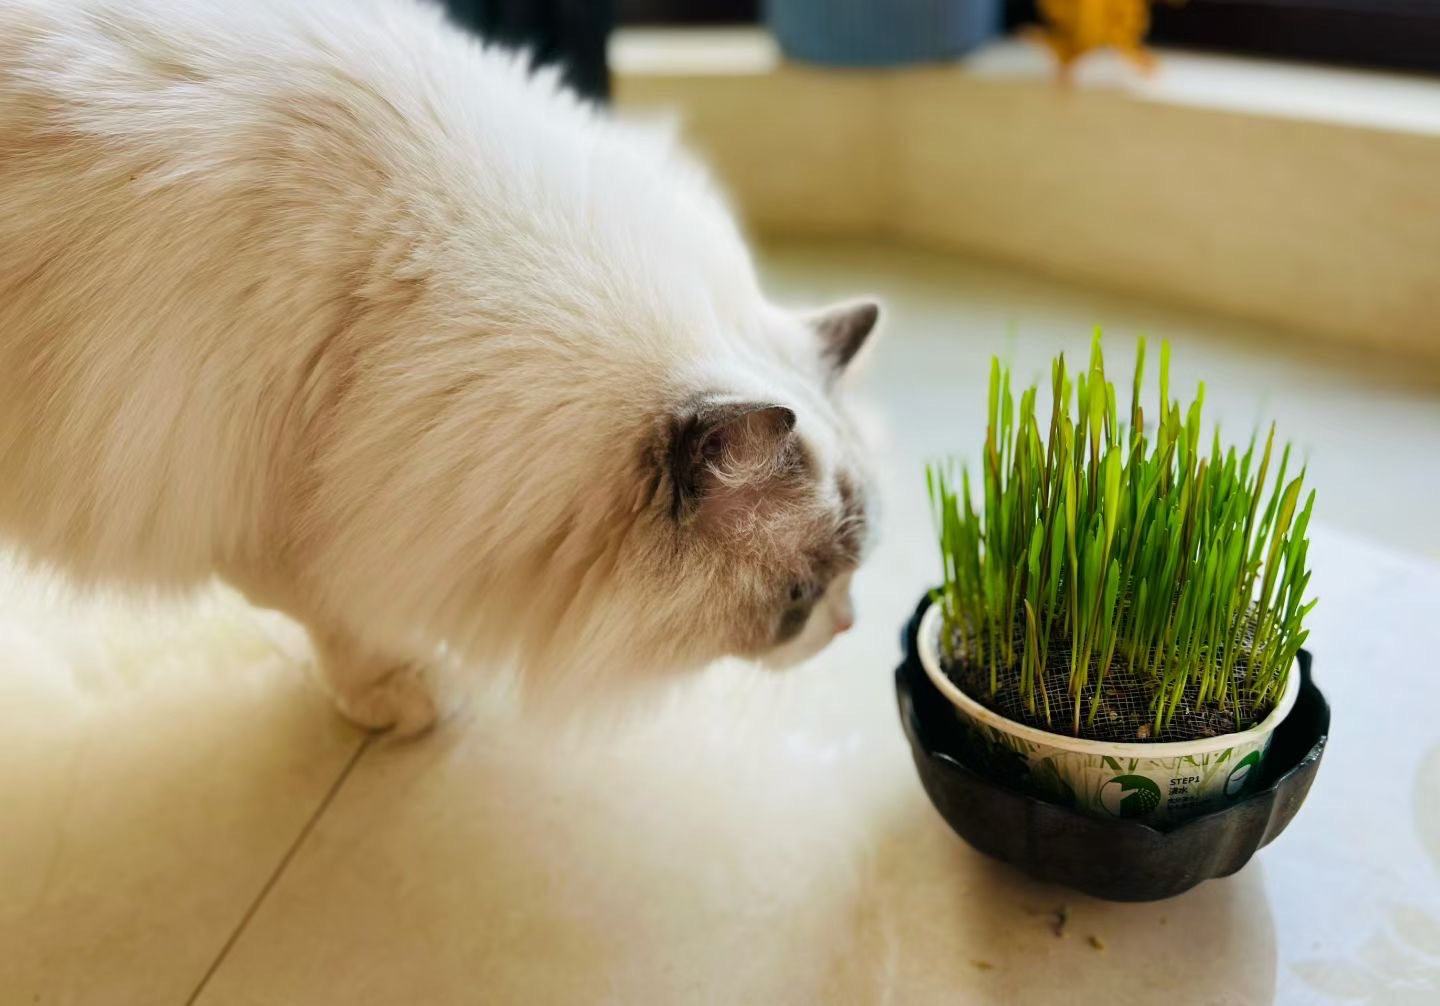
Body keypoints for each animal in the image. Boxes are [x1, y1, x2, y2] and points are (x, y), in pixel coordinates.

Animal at [0, 0, 879, 735]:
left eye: (851, 573)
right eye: (800, 597)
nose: (850, 623)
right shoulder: (249, 505)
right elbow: (335, 613)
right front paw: (396, 695)